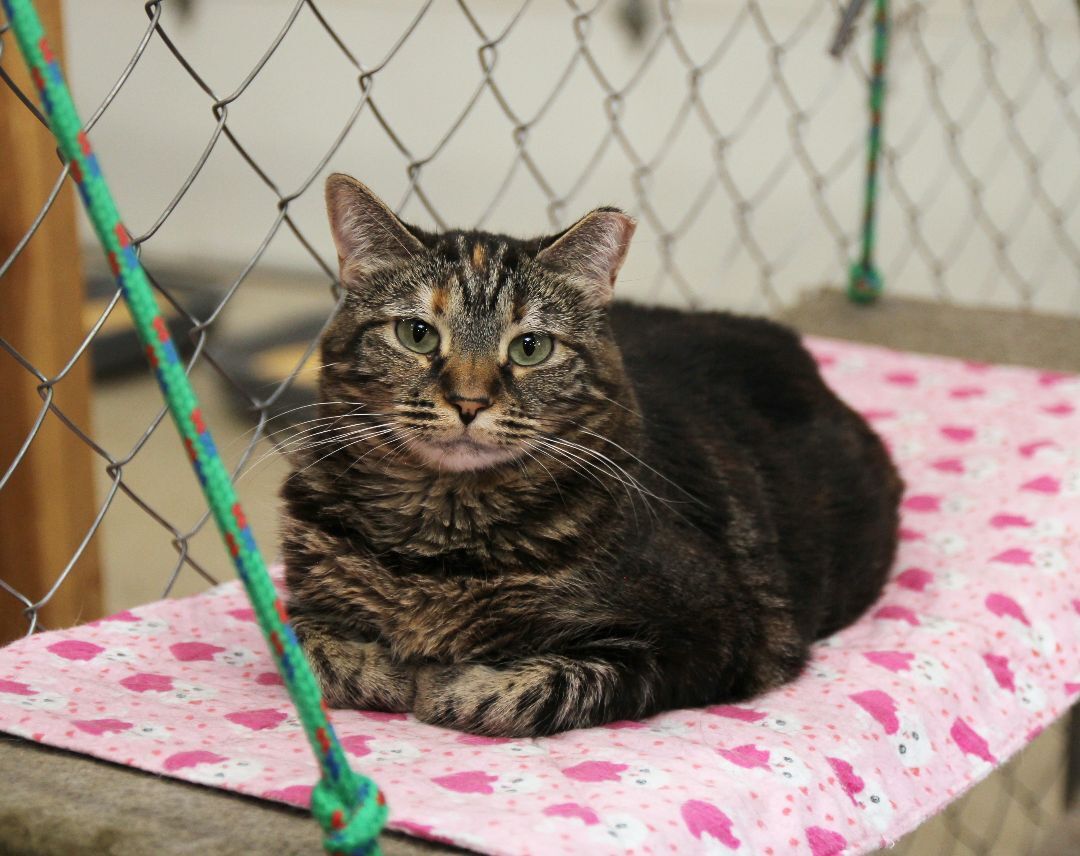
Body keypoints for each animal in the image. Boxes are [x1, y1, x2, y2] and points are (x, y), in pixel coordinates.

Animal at [280, 171, 902, 734]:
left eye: (530, 347)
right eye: (417, 334)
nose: (469, 401)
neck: (441, 537)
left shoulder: (719, 634)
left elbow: (533, 687)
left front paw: (443, 681)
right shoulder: (302, 598)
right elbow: (312, 652)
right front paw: (390, 669)